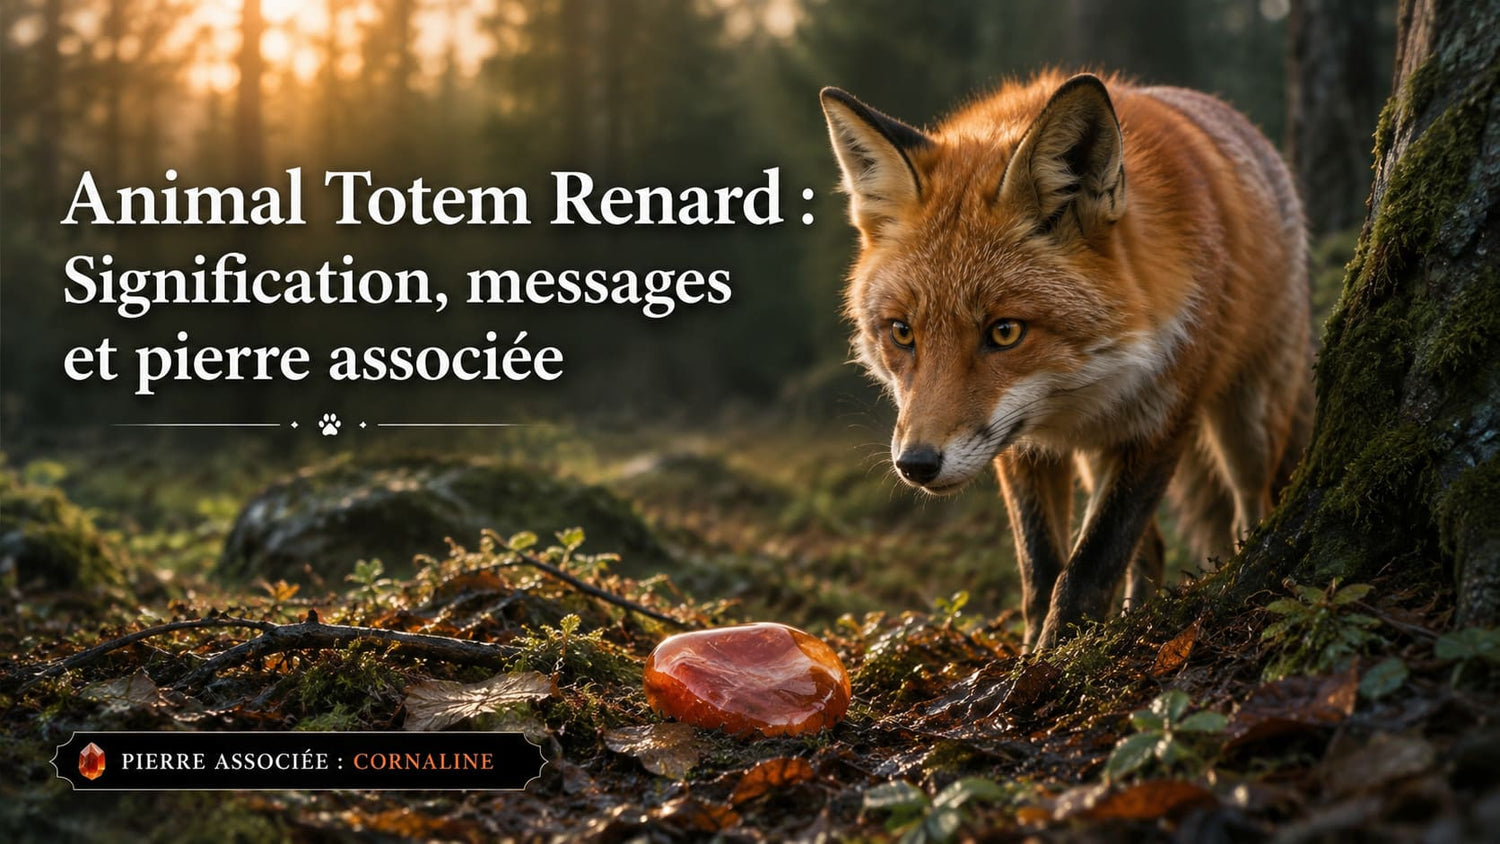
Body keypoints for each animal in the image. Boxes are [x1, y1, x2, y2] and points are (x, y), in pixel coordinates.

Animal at [820, 71, 1313, 650]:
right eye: (902, 333)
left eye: (1004, 331)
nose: (916, 464)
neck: (1076, 396)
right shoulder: (1018, 446)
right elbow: (1041, 569)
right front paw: (1033, 651)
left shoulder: (1163, 421)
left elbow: (1089, 565)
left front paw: (1059, 656)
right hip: (1101, 453)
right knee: (1152, 549)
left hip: (1245, 420)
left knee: (1251, 506)